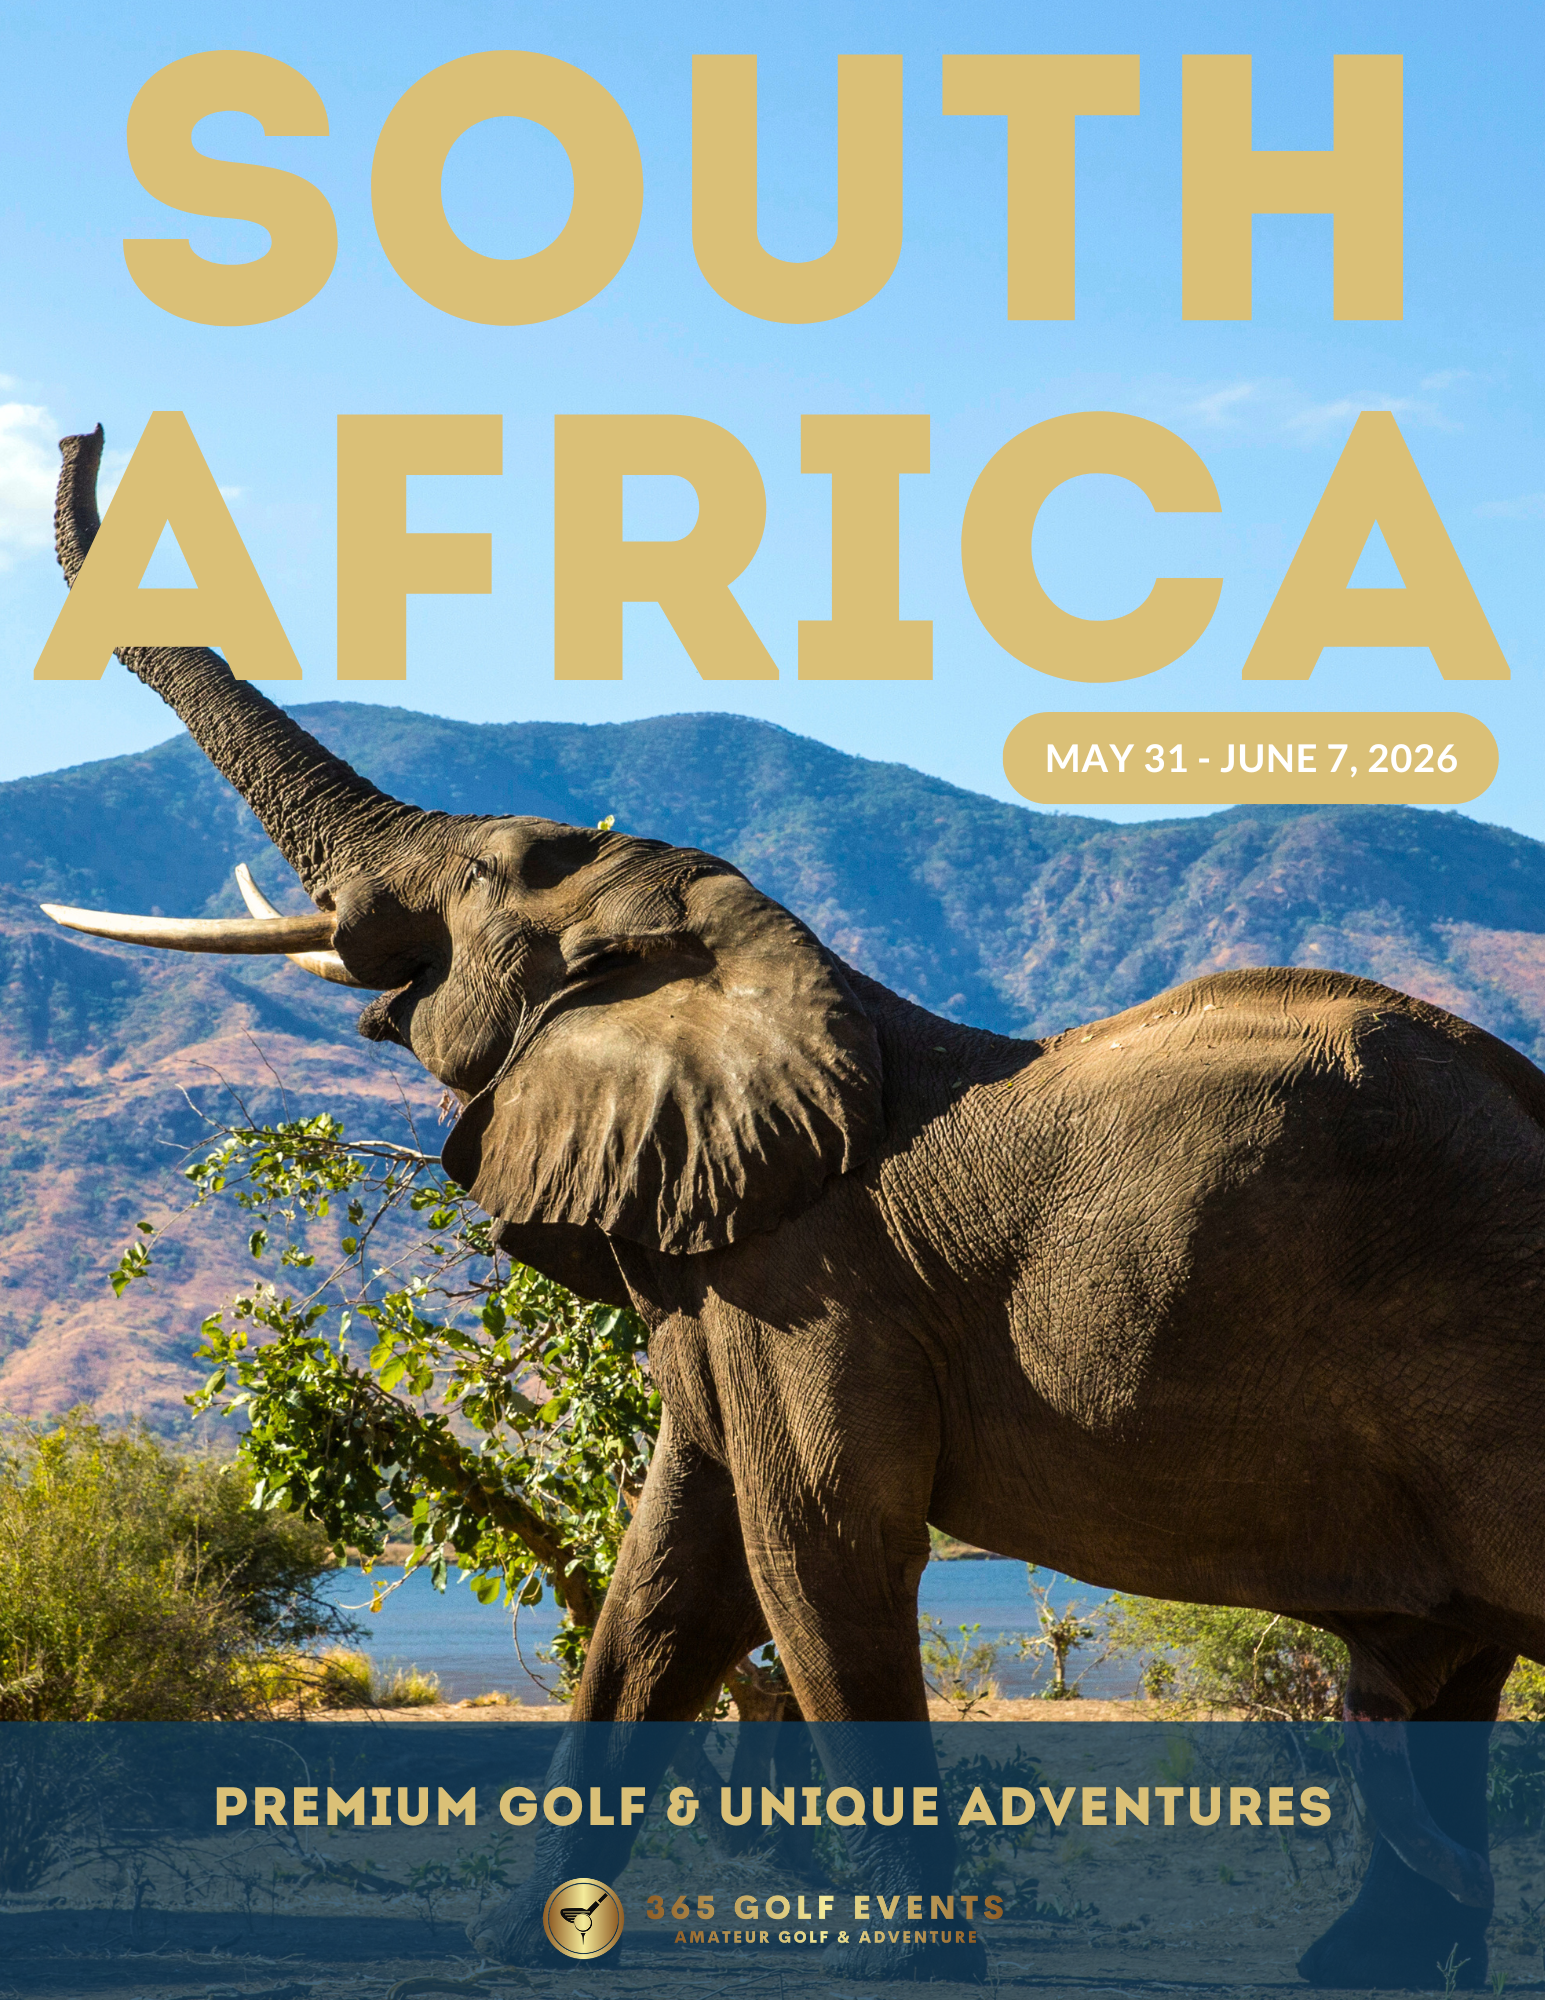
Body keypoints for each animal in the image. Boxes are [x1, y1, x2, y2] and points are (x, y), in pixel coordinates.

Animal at [39, 424, 1545, 1986]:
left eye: (490, 875)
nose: (85, 433)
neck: (763, 959)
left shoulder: (816, 1286)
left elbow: (815, 1552)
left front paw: (907, 1963)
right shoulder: (725, 1285)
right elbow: (666, 1578)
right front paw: (522, 1939)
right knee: (1437, 1665)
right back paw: (1365, 1962)